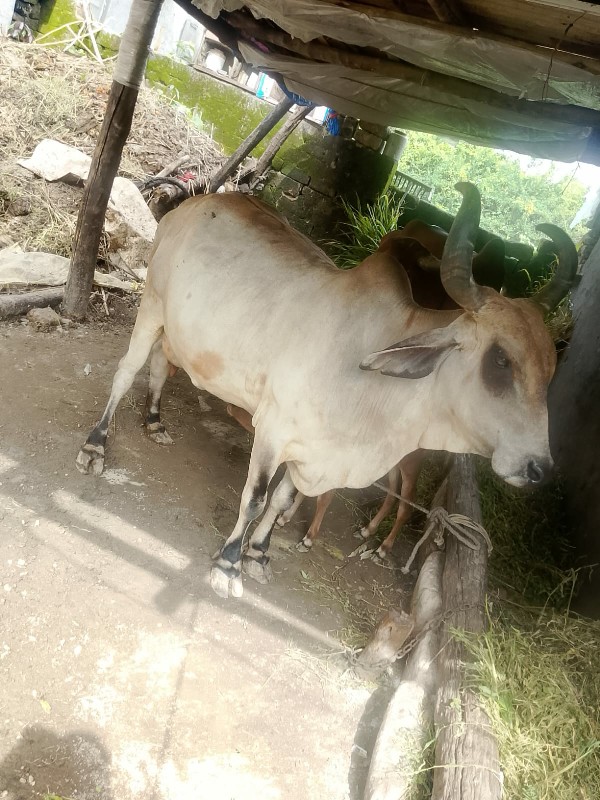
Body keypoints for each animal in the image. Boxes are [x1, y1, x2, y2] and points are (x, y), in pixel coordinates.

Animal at [76, 182, 577, 599]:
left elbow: (283, 499)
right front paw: (228, 564)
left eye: (552, 369)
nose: (539, 468)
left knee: (163, 364)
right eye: (500, 360)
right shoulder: (273, 430)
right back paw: (96, 445)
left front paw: (259, 554)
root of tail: (197, 201)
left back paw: (155, 421)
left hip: (177, 329)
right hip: (151, 305)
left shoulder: (313, 451)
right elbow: (256, 498)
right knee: (127, 371)